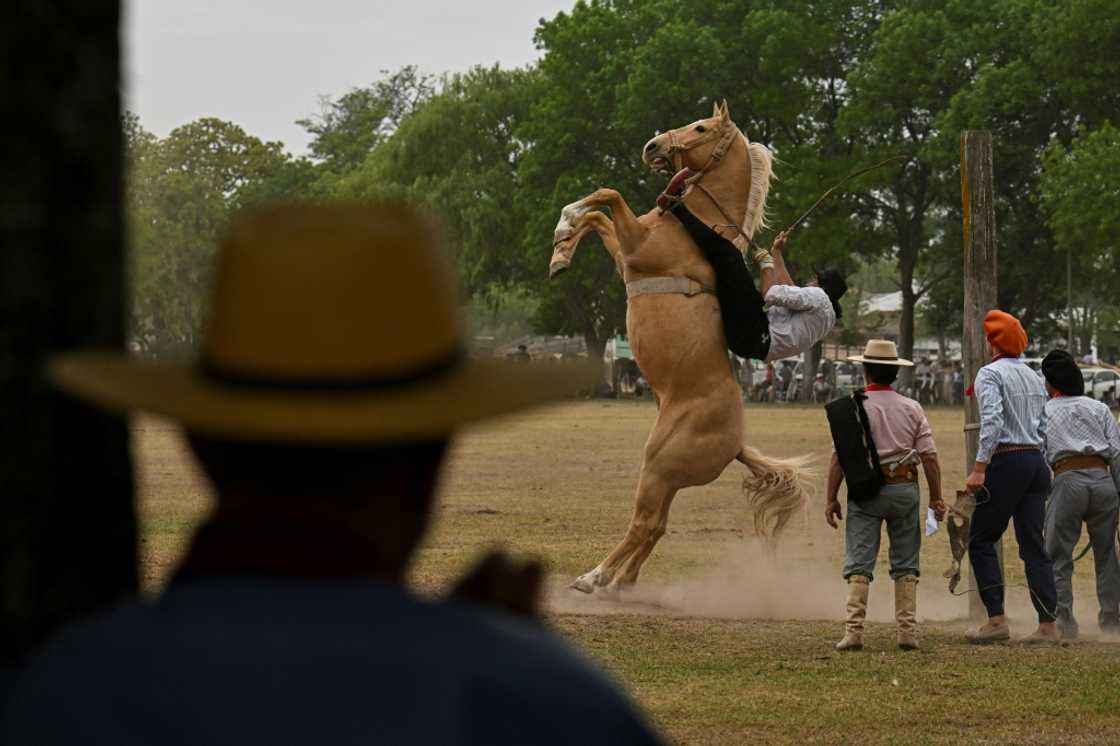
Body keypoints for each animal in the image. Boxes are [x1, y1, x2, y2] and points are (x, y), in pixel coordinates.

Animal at [548, 100, 806, 591]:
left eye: (701, 128)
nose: (652, 146)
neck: (699, 227)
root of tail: (736, 444)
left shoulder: (636, 247)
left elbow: (608, 197)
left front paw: (564, 227)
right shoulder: (625, 254)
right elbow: (599, 216)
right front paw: (561, 248)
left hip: (656, 466)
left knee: (644, 523)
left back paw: (595, 577)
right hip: (666, 478)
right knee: (657, 526)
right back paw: (622, 582)